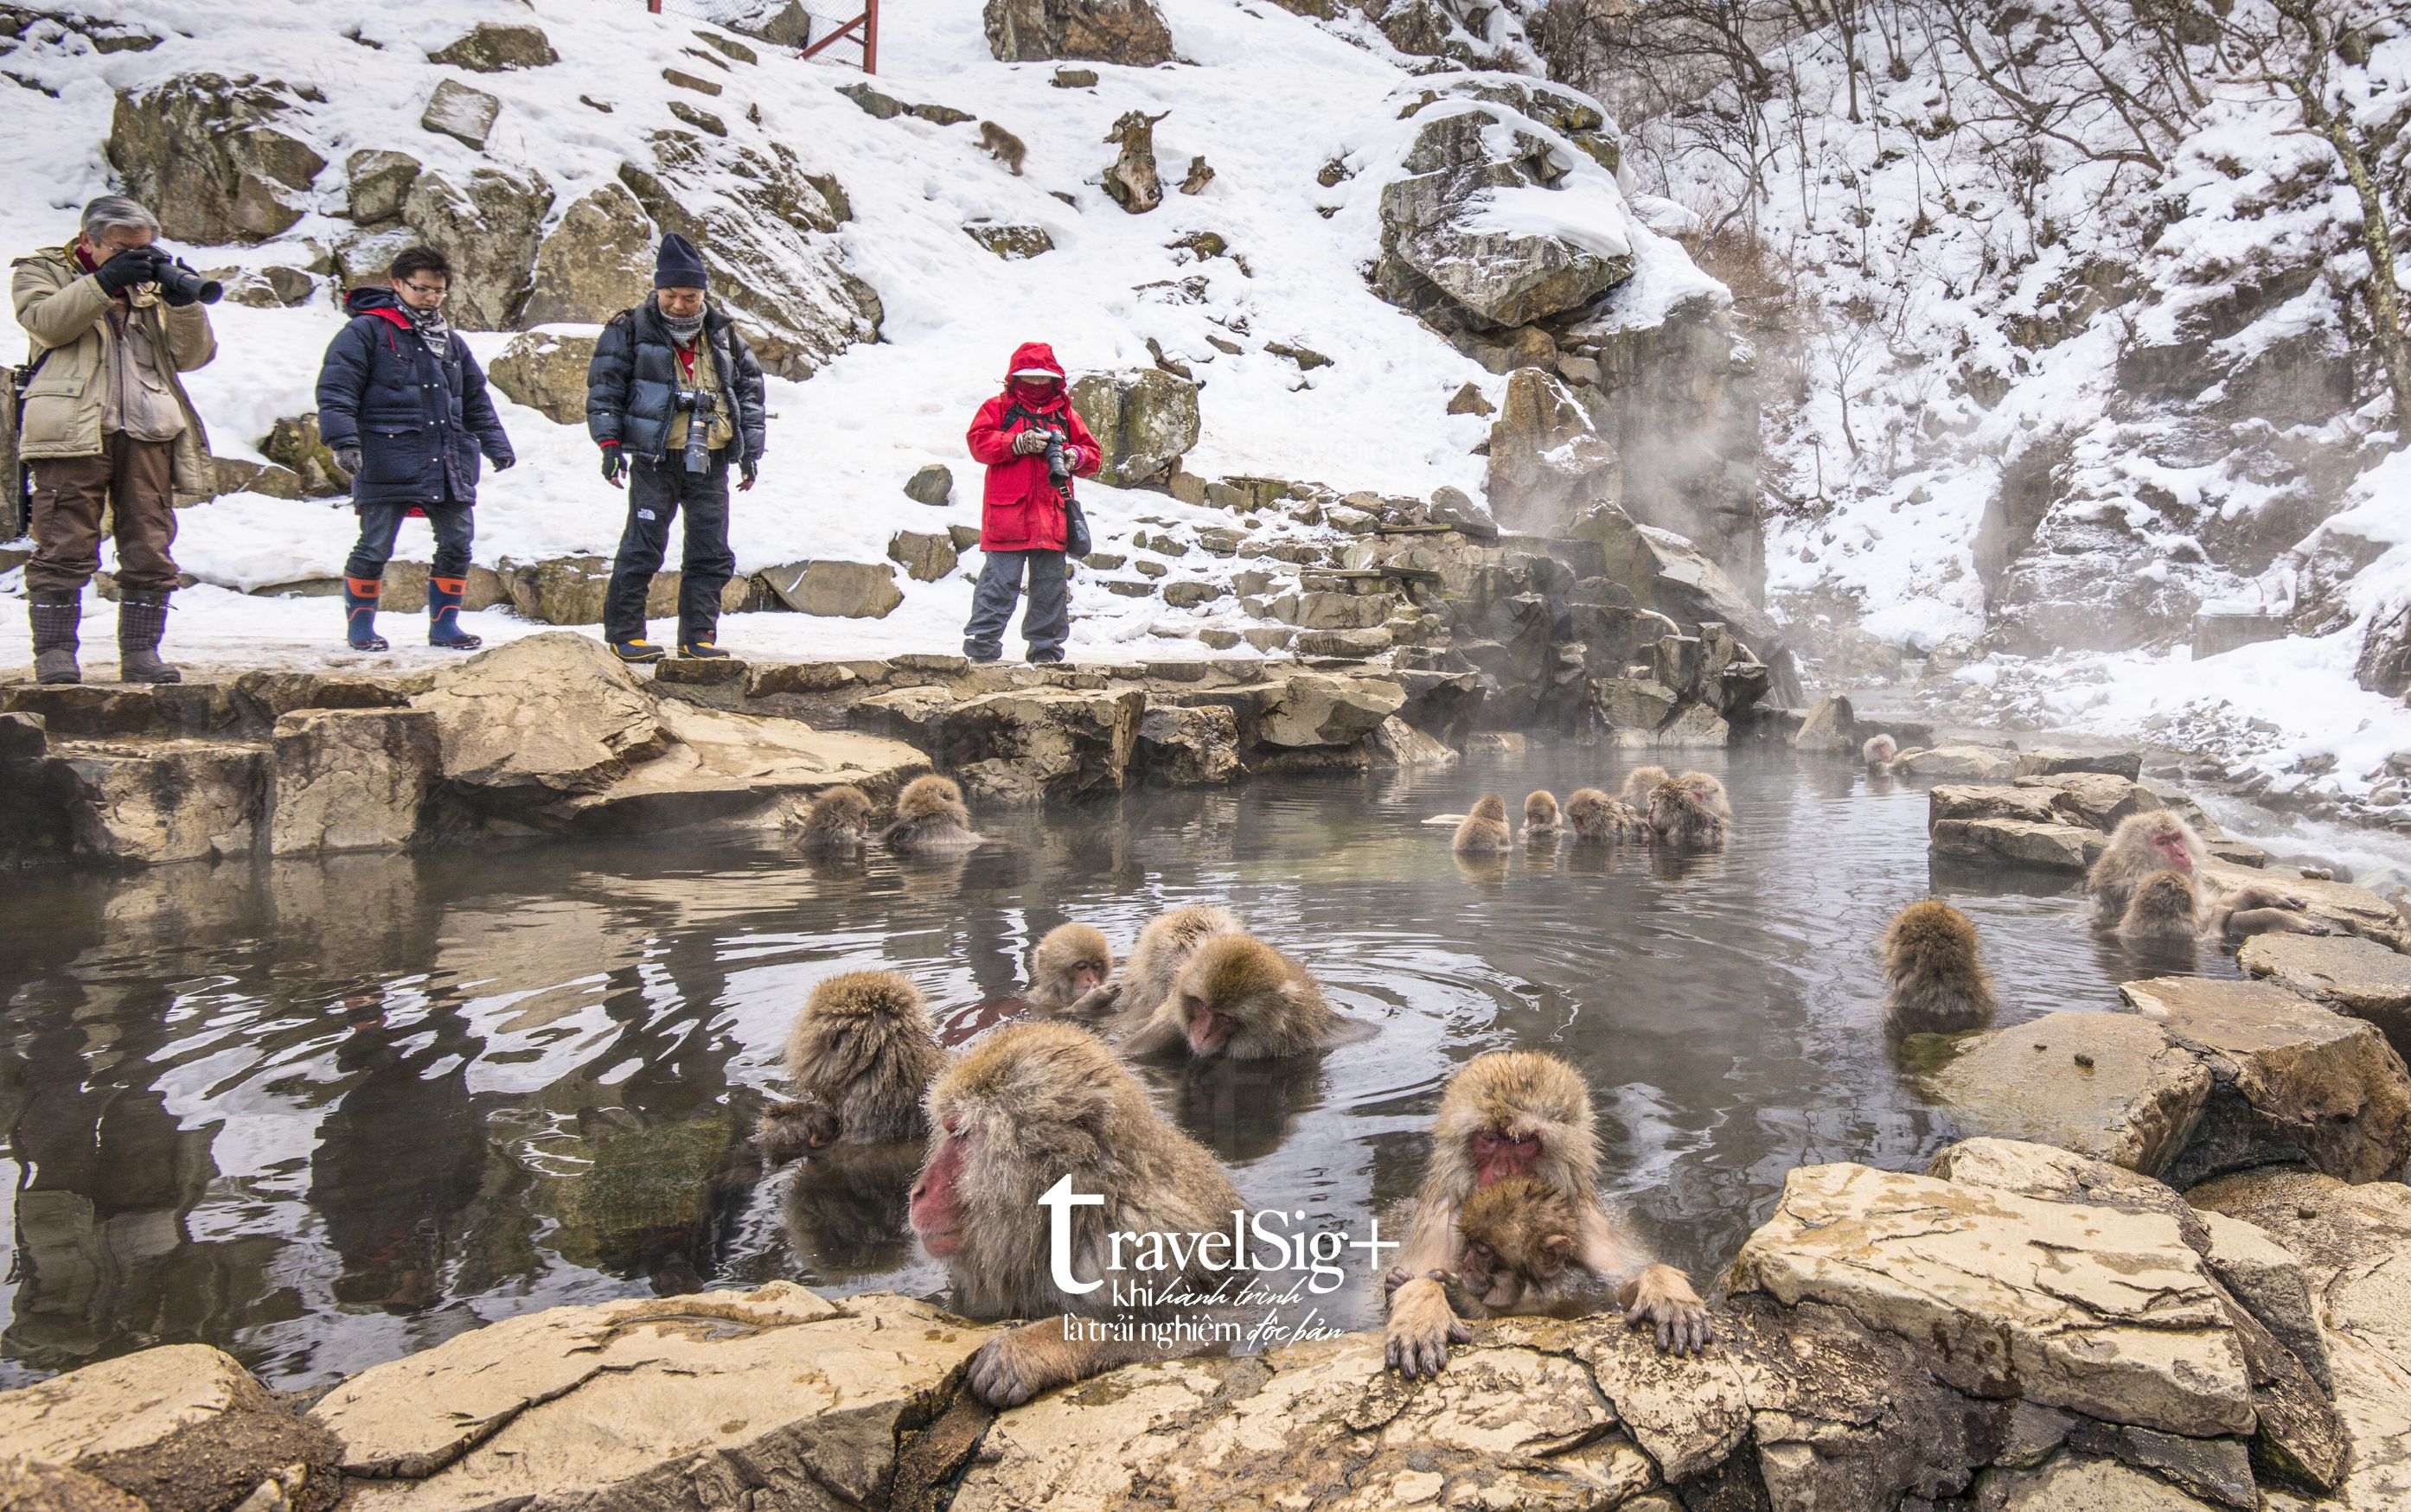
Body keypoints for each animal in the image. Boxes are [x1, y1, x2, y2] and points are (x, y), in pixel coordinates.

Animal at [906, 1022, 1244, 1418]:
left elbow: (1212, 1331)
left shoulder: (1149, 1246)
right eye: (949, 1130)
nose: (918, 1192)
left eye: (961, 1134)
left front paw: (1036, 1347)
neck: (1073, 1218)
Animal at [1388, 1046, 1706, 1379]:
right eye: (1490, 1139)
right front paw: (1423, 1309)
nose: (1501, 1172)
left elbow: (1617, 1283)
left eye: (1524, 1142)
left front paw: (1664, 1288)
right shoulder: (1438, 1221)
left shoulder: (1589, 1223)